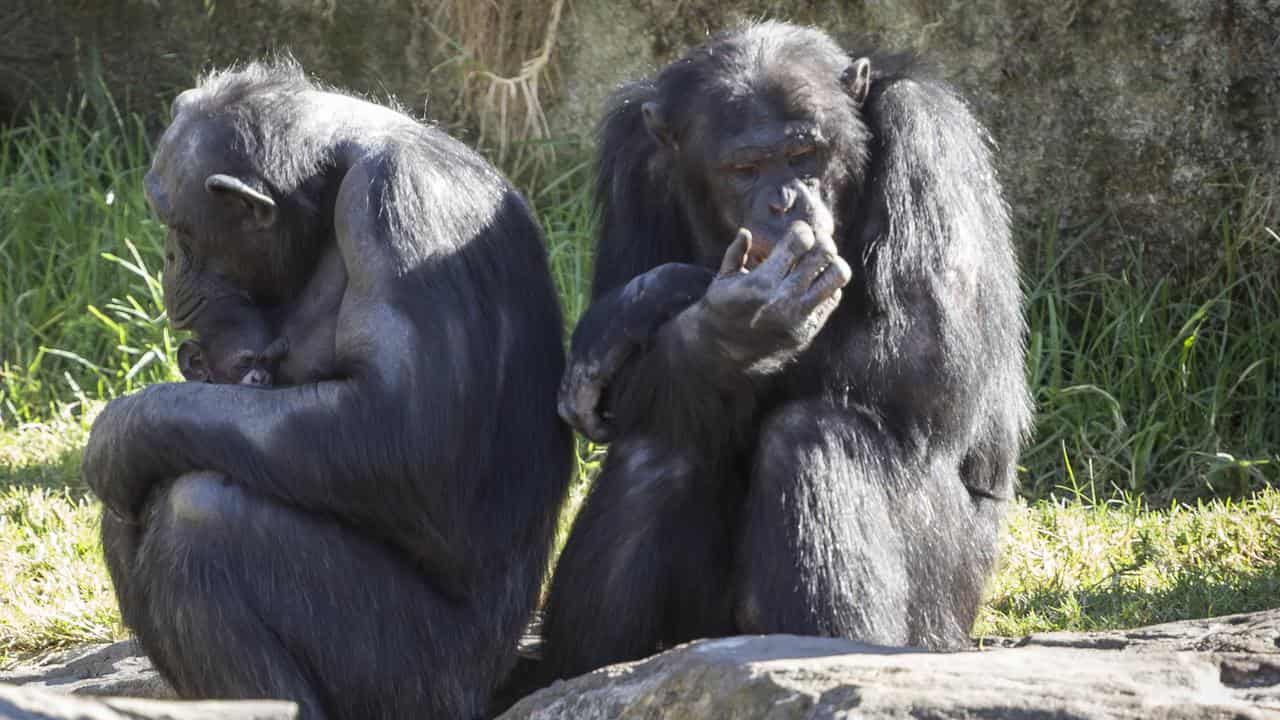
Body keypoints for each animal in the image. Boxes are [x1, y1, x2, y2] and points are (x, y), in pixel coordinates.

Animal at [82, 61, 573, 717]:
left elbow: (399, 427)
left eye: (178, 227)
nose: (164, 257)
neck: (330, 180)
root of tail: (496, 678)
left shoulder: (395, 208)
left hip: (417, 676)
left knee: (202, 515)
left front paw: (121, 430)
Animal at [540, 19, 1029, 676]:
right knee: (662, 445)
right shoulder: (632, 161)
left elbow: (924, 360)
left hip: (945, 608)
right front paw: (710, 323)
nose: (786, 200)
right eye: (746, 167)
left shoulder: (927, 138)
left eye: (803, 155)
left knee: (812, 435)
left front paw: (703, 313)